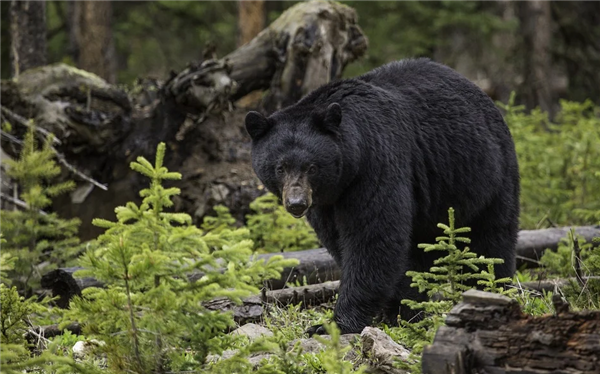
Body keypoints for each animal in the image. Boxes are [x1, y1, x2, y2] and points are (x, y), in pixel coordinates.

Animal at [244, 59, 520, 336]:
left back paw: (490, 289)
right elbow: (341, 240)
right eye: (280, 167)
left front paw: (334, 324)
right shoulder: (326, 202)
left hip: (487, 175)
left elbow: (373, 237)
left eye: (311, 167)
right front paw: (399, 308)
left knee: (490, 240)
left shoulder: (376, 163)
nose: (296, 204)